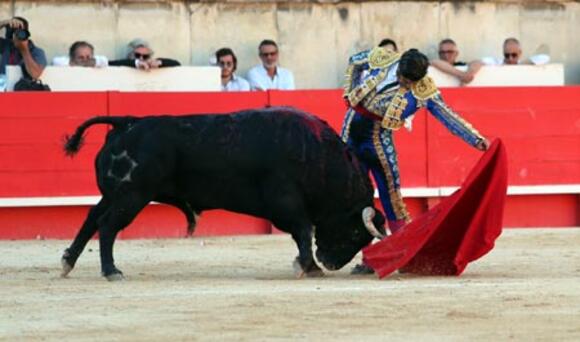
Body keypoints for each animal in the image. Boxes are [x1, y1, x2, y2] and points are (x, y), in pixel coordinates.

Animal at [60, 107, 386, 280]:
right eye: (356, 233)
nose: (331, 263)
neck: (319, 159)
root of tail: (126, 122)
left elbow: (302, 234)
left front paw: (312, 267)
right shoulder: (286, 203)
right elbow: (304, 231)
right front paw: (306, 266)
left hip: (115, 195)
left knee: (92, 218)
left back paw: (68, 262)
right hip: (132, 196)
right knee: (107, 226)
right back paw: (111, 270)